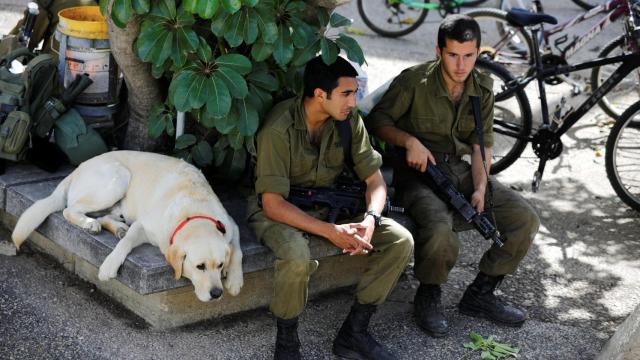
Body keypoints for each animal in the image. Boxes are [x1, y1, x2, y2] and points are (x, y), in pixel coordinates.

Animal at [12, 150, 242, 302]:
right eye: (200, 266)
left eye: (220, 265)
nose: (217, 293)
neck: (193, 213)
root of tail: (79, 167)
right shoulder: (143, 225)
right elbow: (127, 243)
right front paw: (109, 266)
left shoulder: (231, 225)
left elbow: (237, 251)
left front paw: (235, 280)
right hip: (118, 179)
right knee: (70, 209)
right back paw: (90, 224)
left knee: (103, 216)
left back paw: (115, 227)